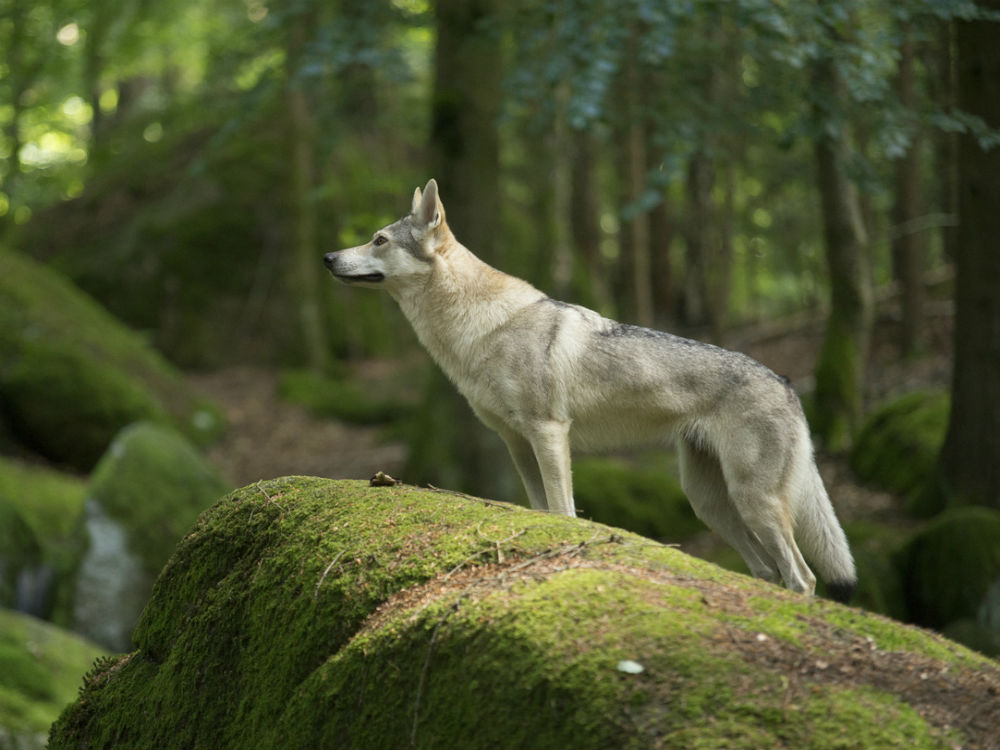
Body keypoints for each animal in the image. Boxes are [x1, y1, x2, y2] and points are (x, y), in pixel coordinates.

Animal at [324, 179, 857, 602]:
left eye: (378, 239)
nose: (327, 256)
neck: (479, 329)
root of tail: (788, 384)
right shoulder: (516, 443)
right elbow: (541, 509)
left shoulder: (548, 432)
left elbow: (564, 511)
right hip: (709, 503)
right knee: (769, 572)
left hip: (753, 501)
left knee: (803, 577)